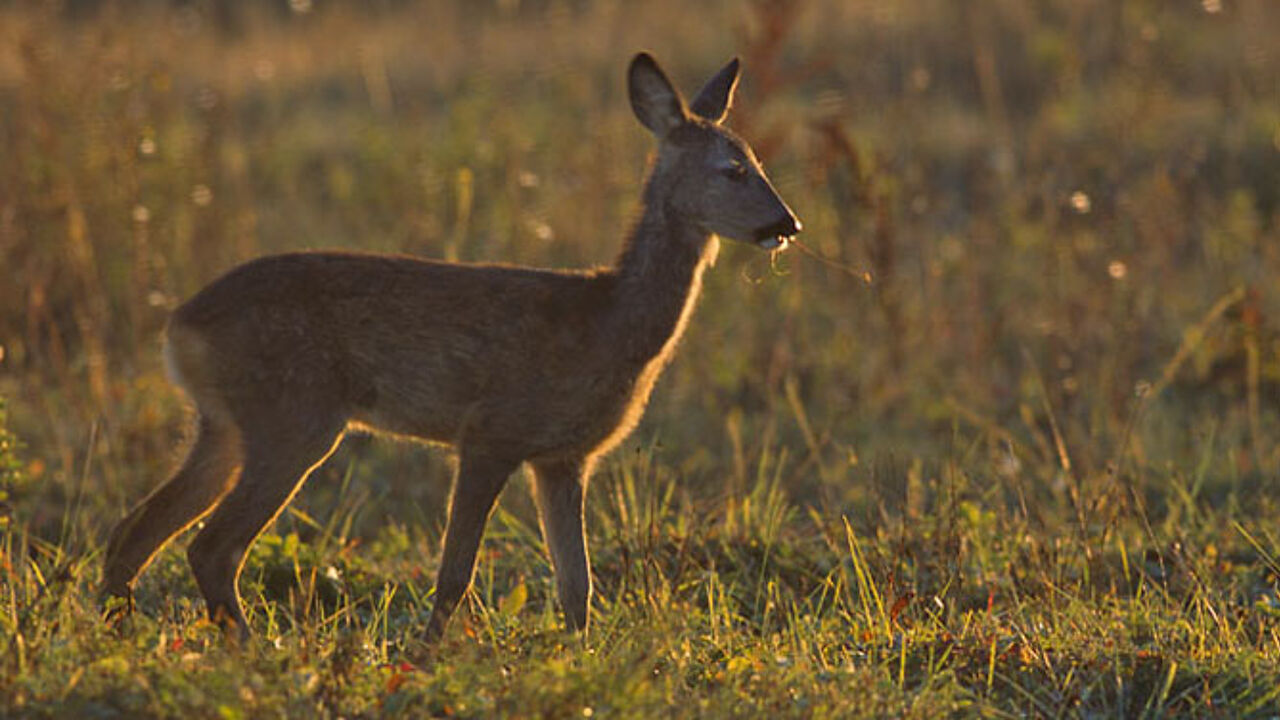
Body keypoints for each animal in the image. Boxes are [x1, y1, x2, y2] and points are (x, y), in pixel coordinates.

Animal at [102, 53, 798, 640]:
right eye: (733, 169)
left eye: (759, 162)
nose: (787, 223)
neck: (609, 323)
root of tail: (180, 328)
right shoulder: (490, 433)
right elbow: (455, 575)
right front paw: (429, 657)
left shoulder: (564, 458)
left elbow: (577, 585)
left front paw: (581, 659)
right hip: (291, 419)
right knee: (210, 546)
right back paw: (253, 650)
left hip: (225, 425)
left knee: (134, 530)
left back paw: (122, 635)